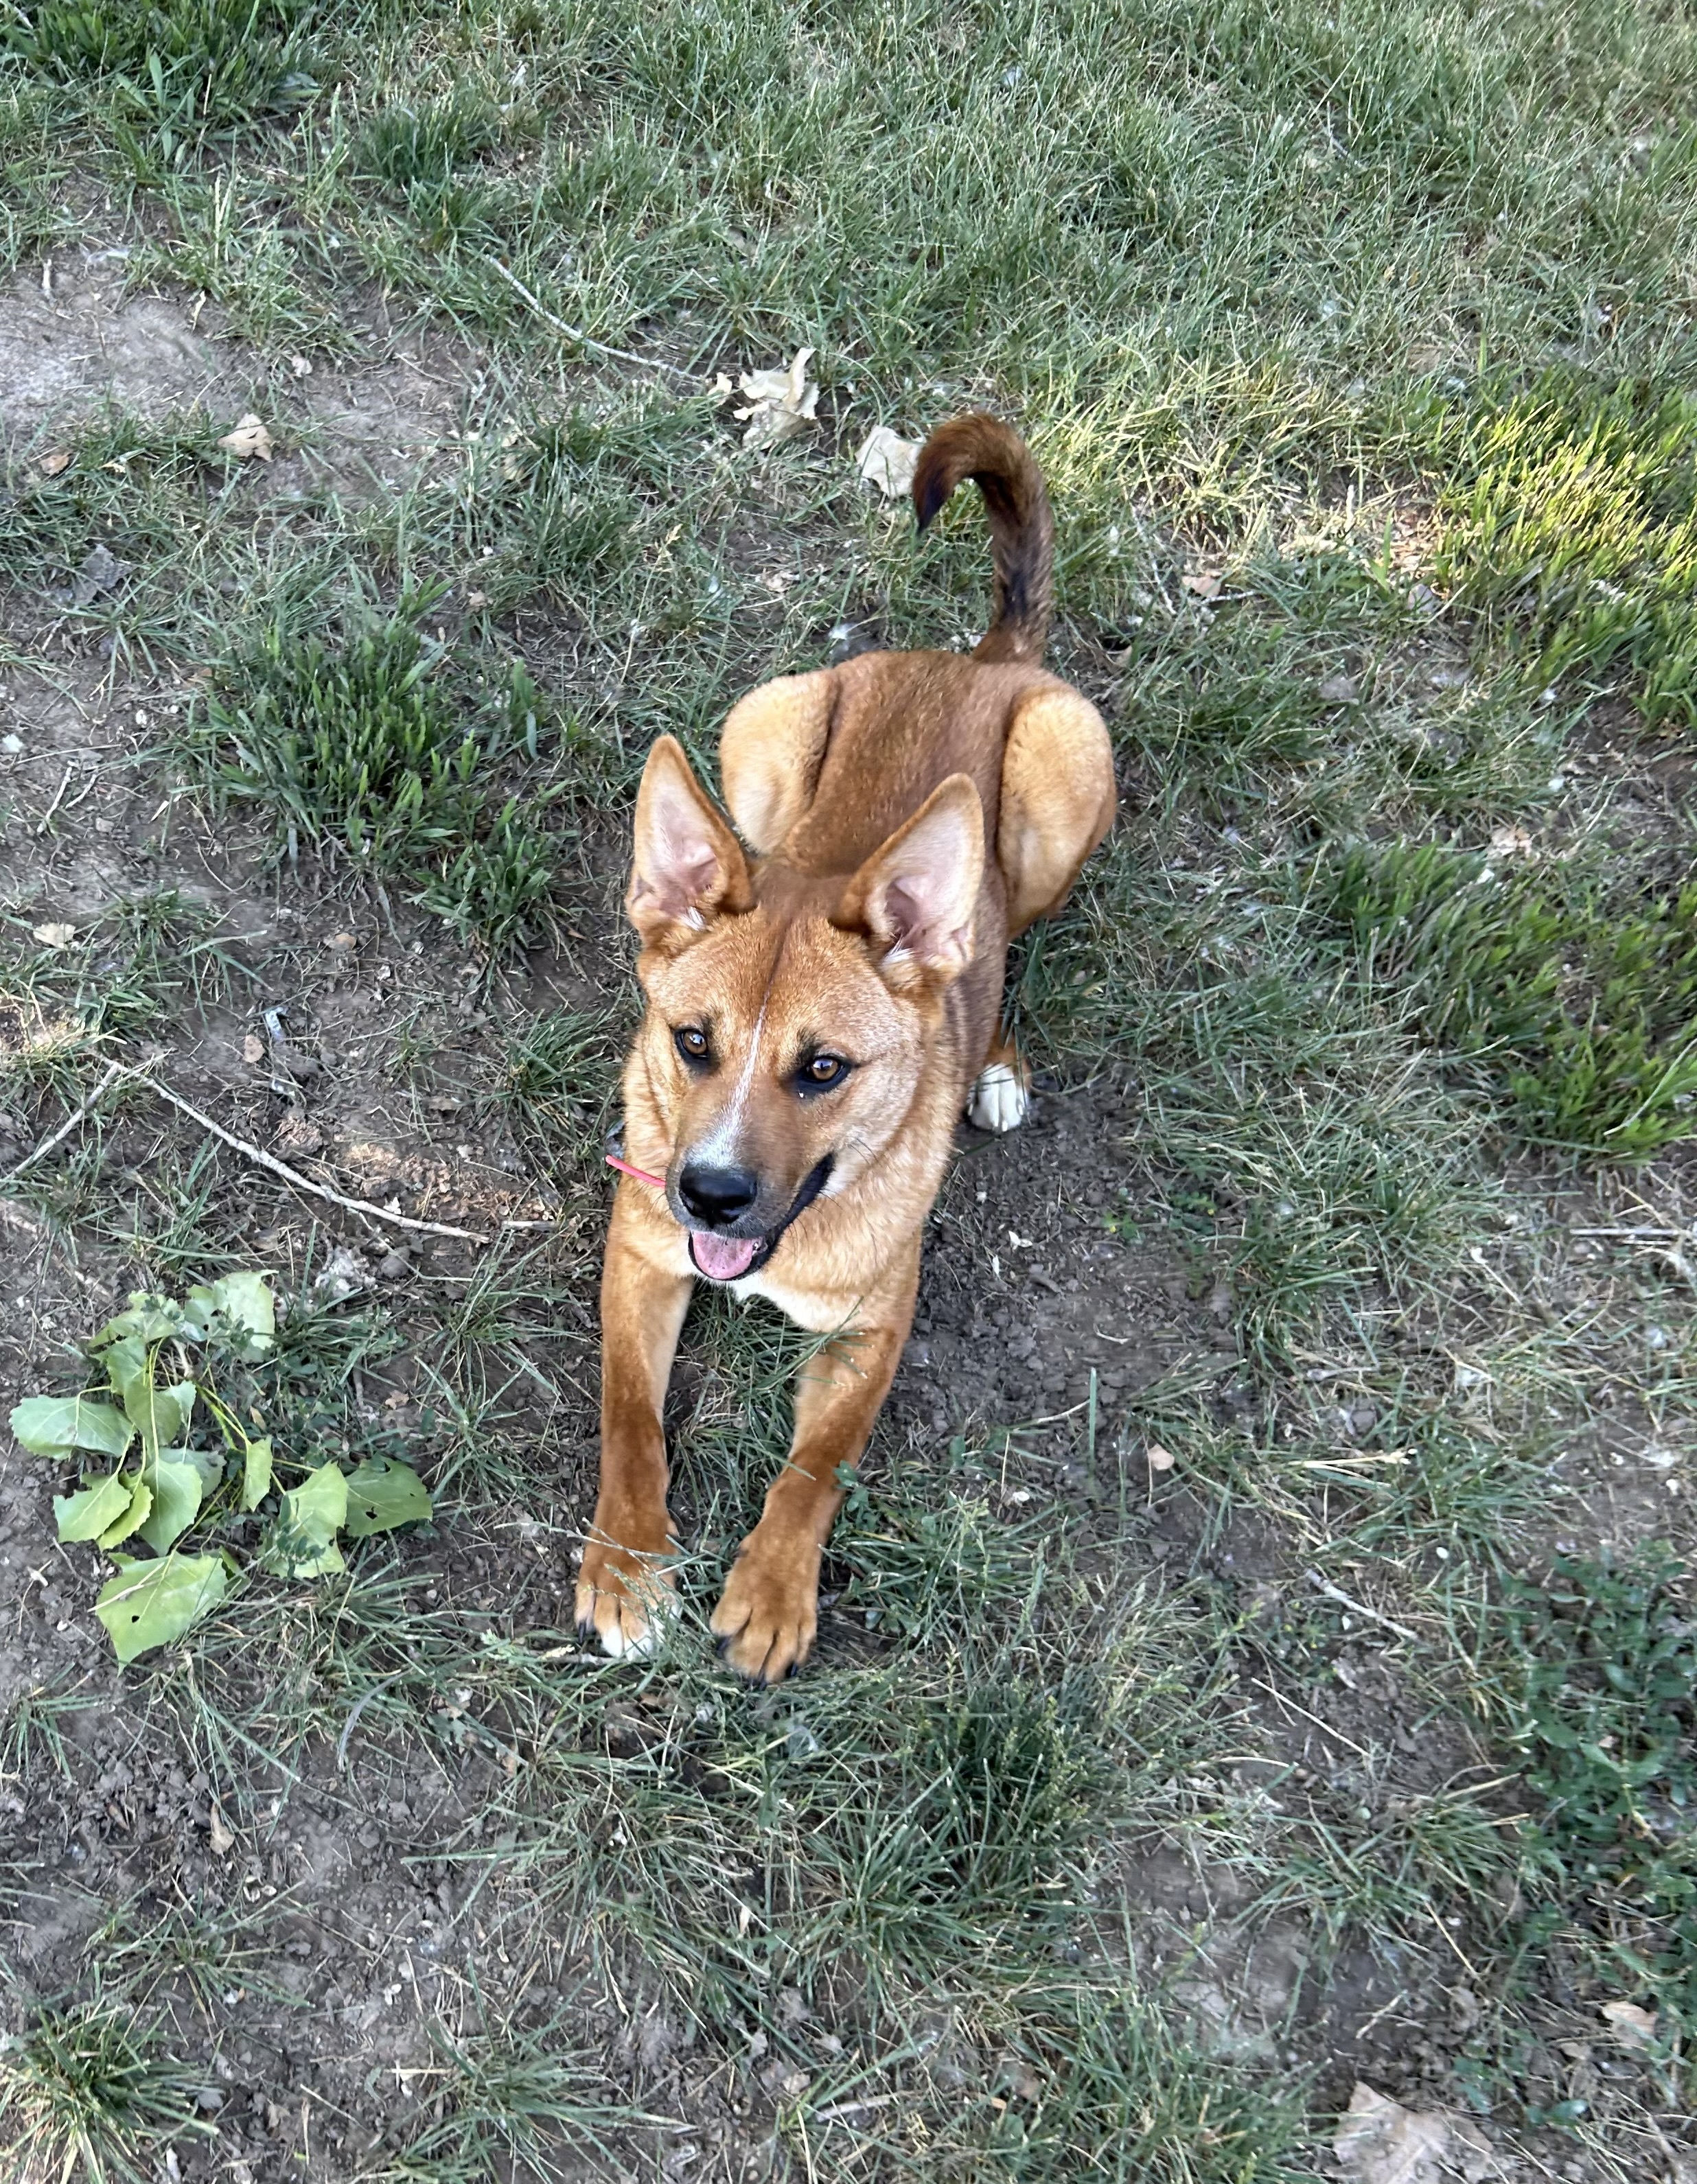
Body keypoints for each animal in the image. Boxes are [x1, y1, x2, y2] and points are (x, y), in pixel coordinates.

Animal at [576, 421, 1118, 1686]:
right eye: (692, 1041)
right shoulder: (640, 1257)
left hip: (1066, 780)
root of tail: (983, 660)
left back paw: (994, 1063)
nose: (712, 1195)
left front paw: (773, 1588)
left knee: (999, 940)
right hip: (757, 731)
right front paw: (626, 1562)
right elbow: (630, 1416)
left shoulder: (876, 1325)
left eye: (823, 1068)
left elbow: (817, 1465)